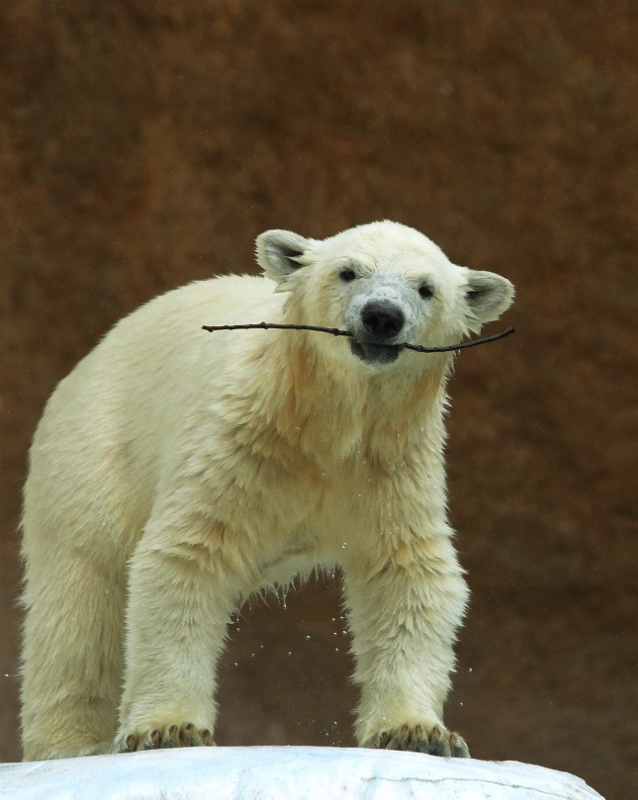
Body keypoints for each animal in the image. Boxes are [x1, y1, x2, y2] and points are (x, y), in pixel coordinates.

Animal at [20, 222, 516, 760]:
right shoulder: (241, 438)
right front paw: (169, 729)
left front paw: (418, 732)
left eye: (426, 288)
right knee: (80, 595)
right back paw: (70, 746)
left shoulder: (392, 462)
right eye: (348, 272)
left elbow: (405, 572)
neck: (327, 420)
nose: (382, 316)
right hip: (95, 451)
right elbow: (188, 554)